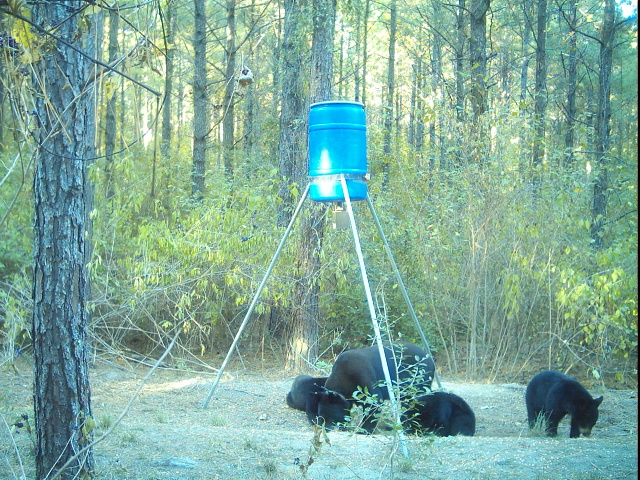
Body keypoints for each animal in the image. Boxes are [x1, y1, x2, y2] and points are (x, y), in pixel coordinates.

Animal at [308, 344, 438, 434]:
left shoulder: (362, 376)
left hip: (419, 378)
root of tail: (431, 360)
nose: (321, 427)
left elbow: (374, 402)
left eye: (327, 415)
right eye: (320, 413)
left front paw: (364, 430)